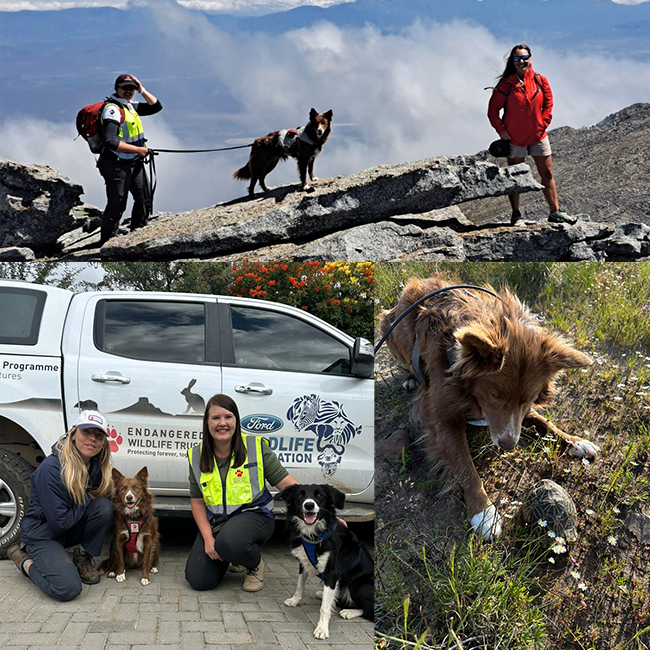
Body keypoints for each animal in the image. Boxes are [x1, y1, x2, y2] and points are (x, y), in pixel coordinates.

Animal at [276, 484, 372, 636]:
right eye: (299, 495)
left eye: (319, 495)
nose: (309, 505)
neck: (314, 535)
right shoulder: (303, 562)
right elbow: (299, 585)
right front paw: (294, 600)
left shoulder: (332, 573)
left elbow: (324, 607)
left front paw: (322, 628)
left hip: (360, 584)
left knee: (369, 611)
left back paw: (349, 612)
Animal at [380, 276, 596, 540]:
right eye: (495, 395)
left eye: (528, 399)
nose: (508, 445)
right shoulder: (442, 417)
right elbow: (465, 466)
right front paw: (484, 513)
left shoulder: (519, 414)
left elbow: (542, 421)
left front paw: (574, 441)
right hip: (391, 330)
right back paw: (412, 379)